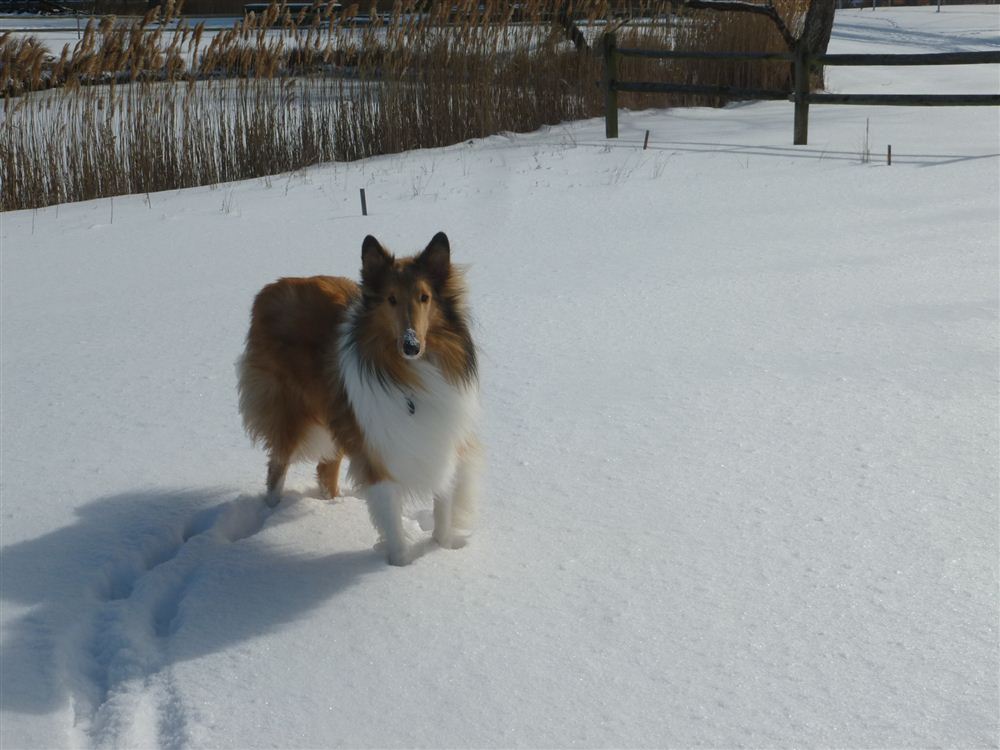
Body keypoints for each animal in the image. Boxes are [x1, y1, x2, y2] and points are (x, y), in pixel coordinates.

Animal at [238, 232, 480, 568]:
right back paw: (269, 513)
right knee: (277, 465)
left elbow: (443, 506)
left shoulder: (443, 440)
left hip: (339, 414)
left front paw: (442, 548)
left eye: (424, 297)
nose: (411, 345)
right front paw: (400, 566)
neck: (411, 375)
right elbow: (391, 518)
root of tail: (271, 288)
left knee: (325, 470)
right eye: (391, 299)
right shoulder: (377, 450)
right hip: (293, 413)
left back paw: (334, 506)